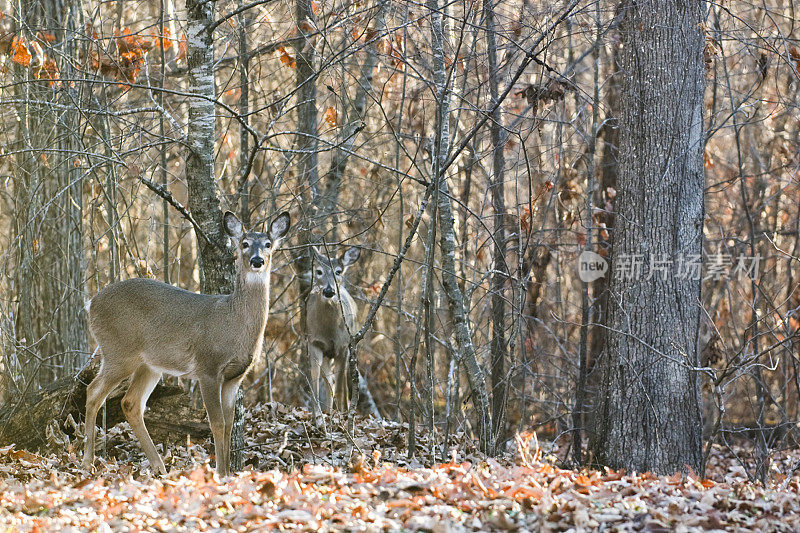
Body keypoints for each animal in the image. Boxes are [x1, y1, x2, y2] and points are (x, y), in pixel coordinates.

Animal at [81, 210, 292, 476]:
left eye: (268, 244)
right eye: (244, 244)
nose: (257, 260)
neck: (234, 323)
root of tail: (91, 304)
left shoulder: (235, 376)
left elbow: (229, 424)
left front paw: (227, 472)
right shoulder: (208, 367)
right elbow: (217, 423)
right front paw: (220, 474)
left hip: (149, 364)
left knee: (130, 403)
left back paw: (159, 467)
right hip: (118, 351)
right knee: (93, 392)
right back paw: (88, 461)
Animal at [304, 245, 360, 420]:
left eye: (338, 271)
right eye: (319, 271)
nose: (329, 291)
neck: (329, 331)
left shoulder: (343, 346)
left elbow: (341, 386)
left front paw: (343, 414)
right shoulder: (314, 343)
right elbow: (316, 381)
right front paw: (318, 415)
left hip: (351, 347)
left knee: (341, 383)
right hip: (328, 355)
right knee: (330, 383)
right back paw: (328, 411)